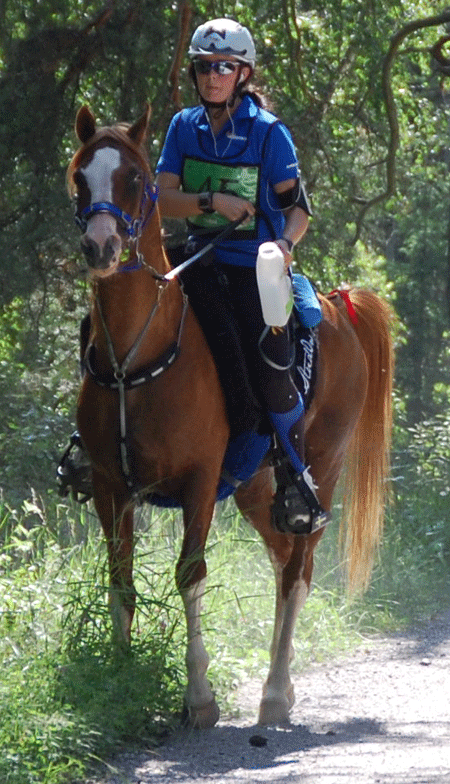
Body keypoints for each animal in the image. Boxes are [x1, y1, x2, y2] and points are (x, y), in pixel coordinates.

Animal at [67, 104, 394, 728]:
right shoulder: (108, 486)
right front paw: (120, 679)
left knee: (298, 571)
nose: (101, 247)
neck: (136, 358)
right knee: (283, 558)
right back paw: (279, 688)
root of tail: (338, 306)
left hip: (323, 467)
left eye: (134, 179)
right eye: (79, 177)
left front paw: (199, 697)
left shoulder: (198, 481)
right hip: (254, 485)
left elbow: (190, 575)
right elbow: (120, 581)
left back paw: (276, 695)